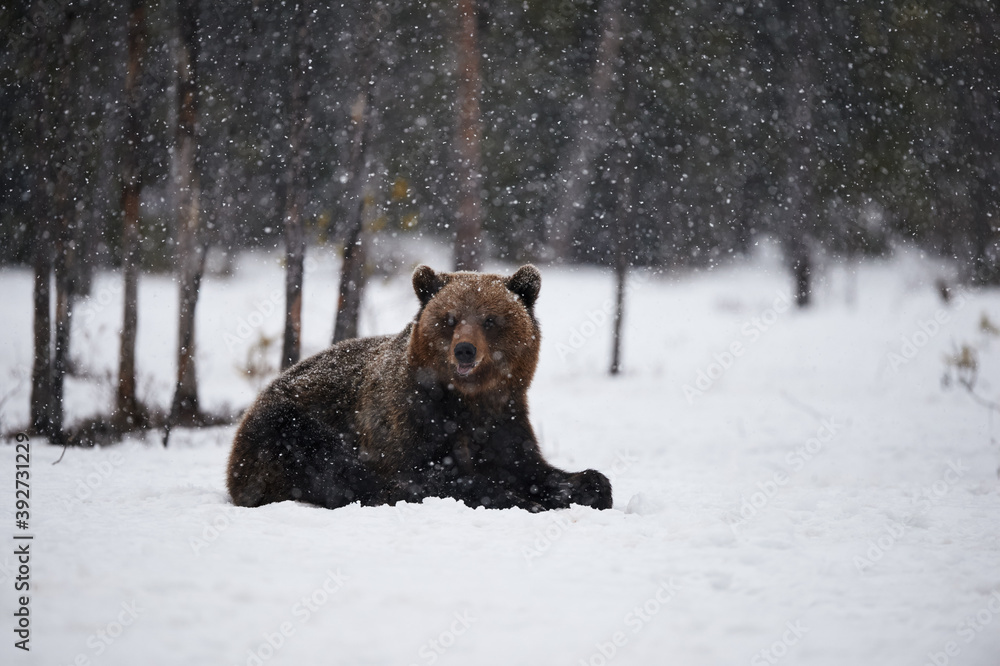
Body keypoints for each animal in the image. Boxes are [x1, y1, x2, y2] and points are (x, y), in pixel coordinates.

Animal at [226, 264, 612, 512]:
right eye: (450, 319)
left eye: (490, 319)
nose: (465, 349)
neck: (467, 399)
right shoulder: (409, 419)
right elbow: (426, 475)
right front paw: (515, 498)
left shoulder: (504, 418)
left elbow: (531, 467)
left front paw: (590, 486)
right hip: (284, 428)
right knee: (329, 463)